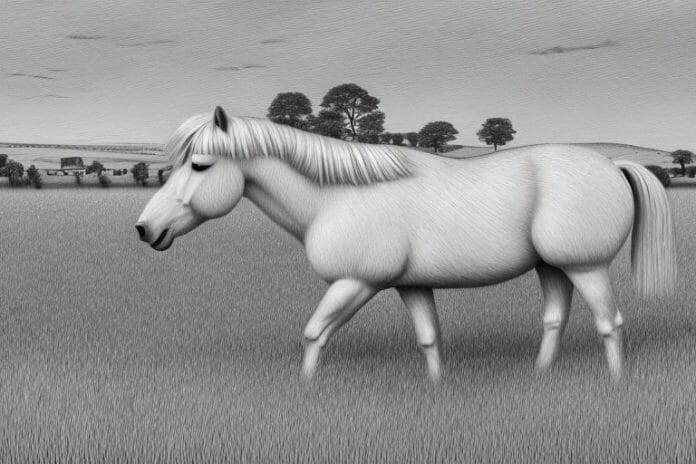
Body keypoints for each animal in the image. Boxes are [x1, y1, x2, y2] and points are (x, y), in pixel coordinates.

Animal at [136, 106, 676, 383]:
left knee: (610, 323)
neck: (339, 197)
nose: (144, 229)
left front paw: (306, 390)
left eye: (200, 165)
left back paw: (615, 385)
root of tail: (612, 165)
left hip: (586, 266)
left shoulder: (355, 282)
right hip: (551, 267)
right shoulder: (410, 286)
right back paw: (540, 376)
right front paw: (436, 388)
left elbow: (314, 333)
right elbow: (428, 339)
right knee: (554, 320)